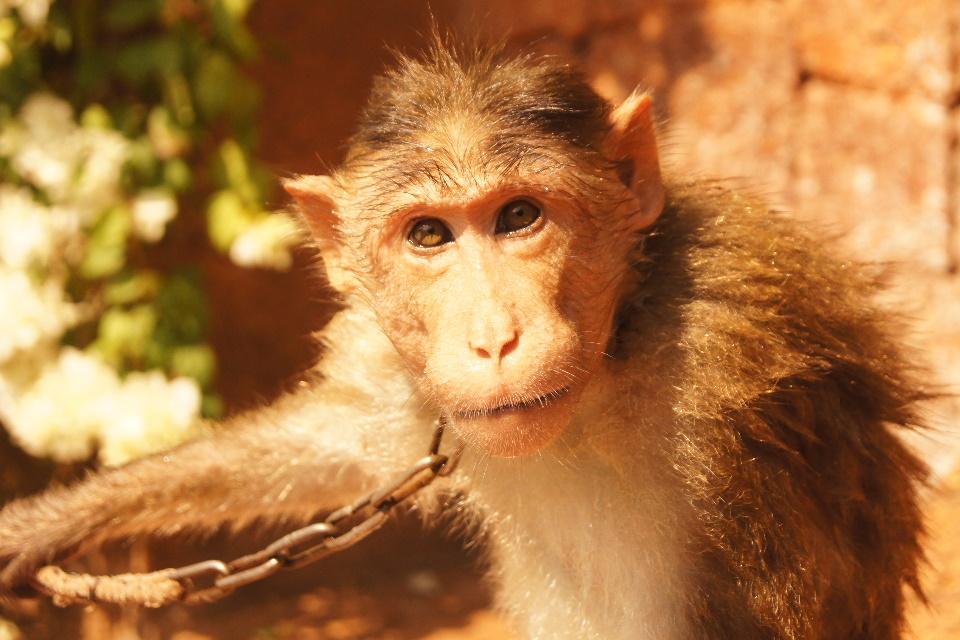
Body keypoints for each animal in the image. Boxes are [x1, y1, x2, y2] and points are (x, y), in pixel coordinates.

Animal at [0, 41, 928, 639]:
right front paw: (48, 522)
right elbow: (337, 439)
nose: (491, 340)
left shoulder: (732, 382)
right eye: (429, 235)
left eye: (519, 216)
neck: (614, 357)